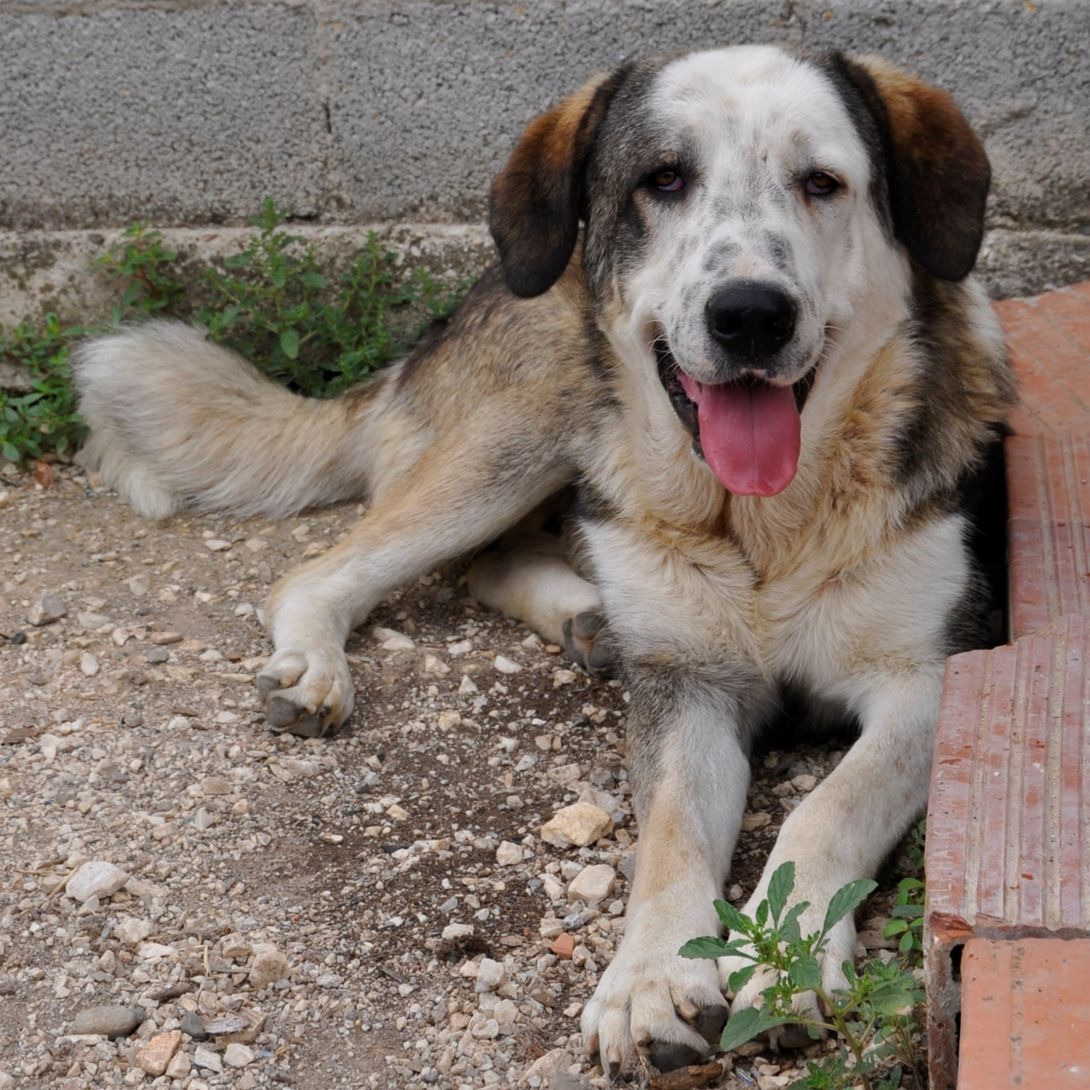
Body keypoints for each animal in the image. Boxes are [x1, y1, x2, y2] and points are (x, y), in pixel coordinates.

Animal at [74, 44, 1014, 1075]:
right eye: (664, 180)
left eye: (821, 183)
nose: (750, 316)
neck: (765, 528)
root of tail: (460, 305)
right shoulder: (687, 686)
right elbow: (670, 838)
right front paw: (650, 981)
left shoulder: (934, 679)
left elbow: (827, 807)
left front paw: (792, 961)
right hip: (524, 433)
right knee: (333, 568)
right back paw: (319, 665)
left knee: (490, 564)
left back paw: (588, 620)